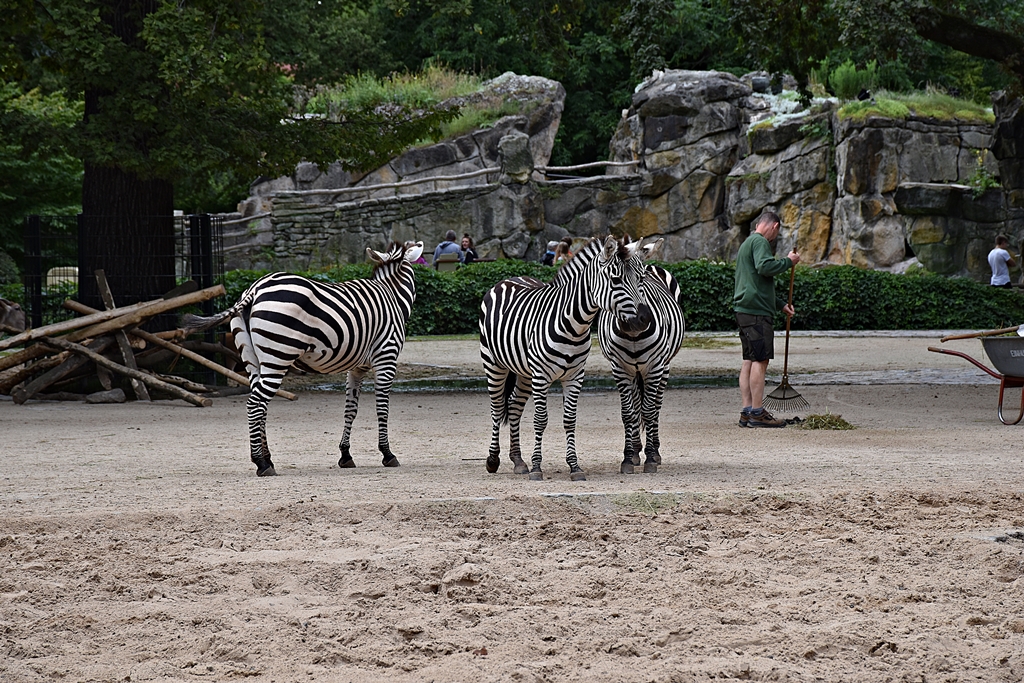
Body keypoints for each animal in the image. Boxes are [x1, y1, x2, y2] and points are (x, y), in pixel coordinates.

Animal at [183, 241, 423, 476]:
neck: (391, 296)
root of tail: (254, 289)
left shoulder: (357, 368)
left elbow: (350, 409)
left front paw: (345, 455)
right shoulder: (386, 358)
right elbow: (382, 408)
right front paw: (387, 454)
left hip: (253, 361)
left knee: (261, 406)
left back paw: (268, 460)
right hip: (278, 357)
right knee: (255, 404)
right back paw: (260, 463)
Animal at [480, 235, 649, 482]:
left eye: (640, 278)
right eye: (616, 280)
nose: (645, 319)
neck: (573, 323)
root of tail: (510, 278)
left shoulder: (575, 376)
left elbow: (570, 420)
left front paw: (574, 466)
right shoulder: (541, 376)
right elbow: (540, 420)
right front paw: (537, 467)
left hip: (523, 372)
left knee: (513, 406)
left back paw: (518, 461)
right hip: (493, 363)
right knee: (496, 406)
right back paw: (493, 460)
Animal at [597, 236, 686, 475]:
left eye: (641, 278)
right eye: (616, 280)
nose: (641, 319)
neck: (633, 334)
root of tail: (653, 264)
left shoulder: (654, 366)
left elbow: (649, 410)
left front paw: (651, 457)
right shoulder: (620, 368)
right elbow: (629, 412)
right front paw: (629, 457)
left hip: (664, 366)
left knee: (655, 406)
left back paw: (654, 449)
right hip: (635, 370)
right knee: (637, 405)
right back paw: (636, 449)